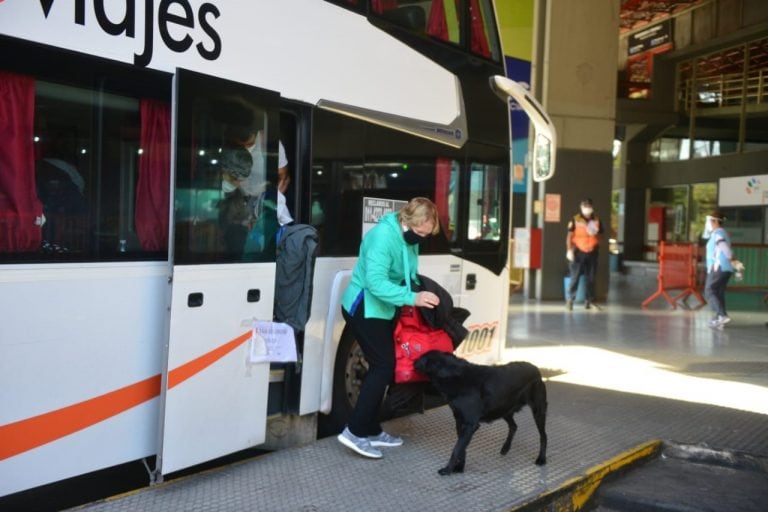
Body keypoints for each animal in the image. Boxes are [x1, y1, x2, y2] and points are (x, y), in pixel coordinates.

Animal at [414, 350, 544, 474]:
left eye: (421, 357)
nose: (413, 360)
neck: (454, 375)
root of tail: (536, 368)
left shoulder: (470, 424)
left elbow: (457, 448)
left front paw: (448, 470)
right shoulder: (459, 421)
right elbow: (462, 448)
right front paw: (459, 468)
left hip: (538, 410)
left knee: (543, 436)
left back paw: (541, 459)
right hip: (504, 409)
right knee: (514, 426)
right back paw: (505, 448)